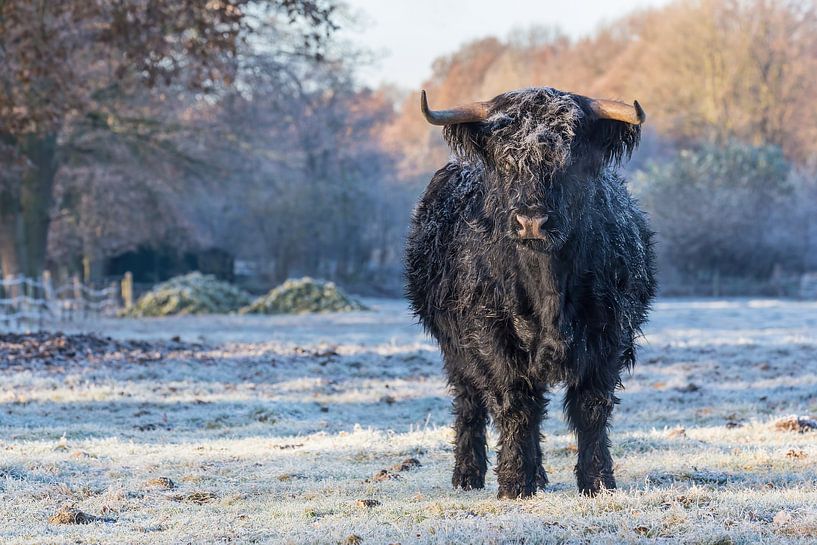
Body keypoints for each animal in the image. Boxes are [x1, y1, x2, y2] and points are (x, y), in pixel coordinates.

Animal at [405, 87, 656, 499]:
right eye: (506, 163)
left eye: (570, 161)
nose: (531, 222)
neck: (548, 288)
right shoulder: (490, 335)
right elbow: (515, 404)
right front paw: (513, 483)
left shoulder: (609, 334)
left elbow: (591, 407)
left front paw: (598, 481)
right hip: (454, 349)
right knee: (470, 402)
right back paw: (468, 475)